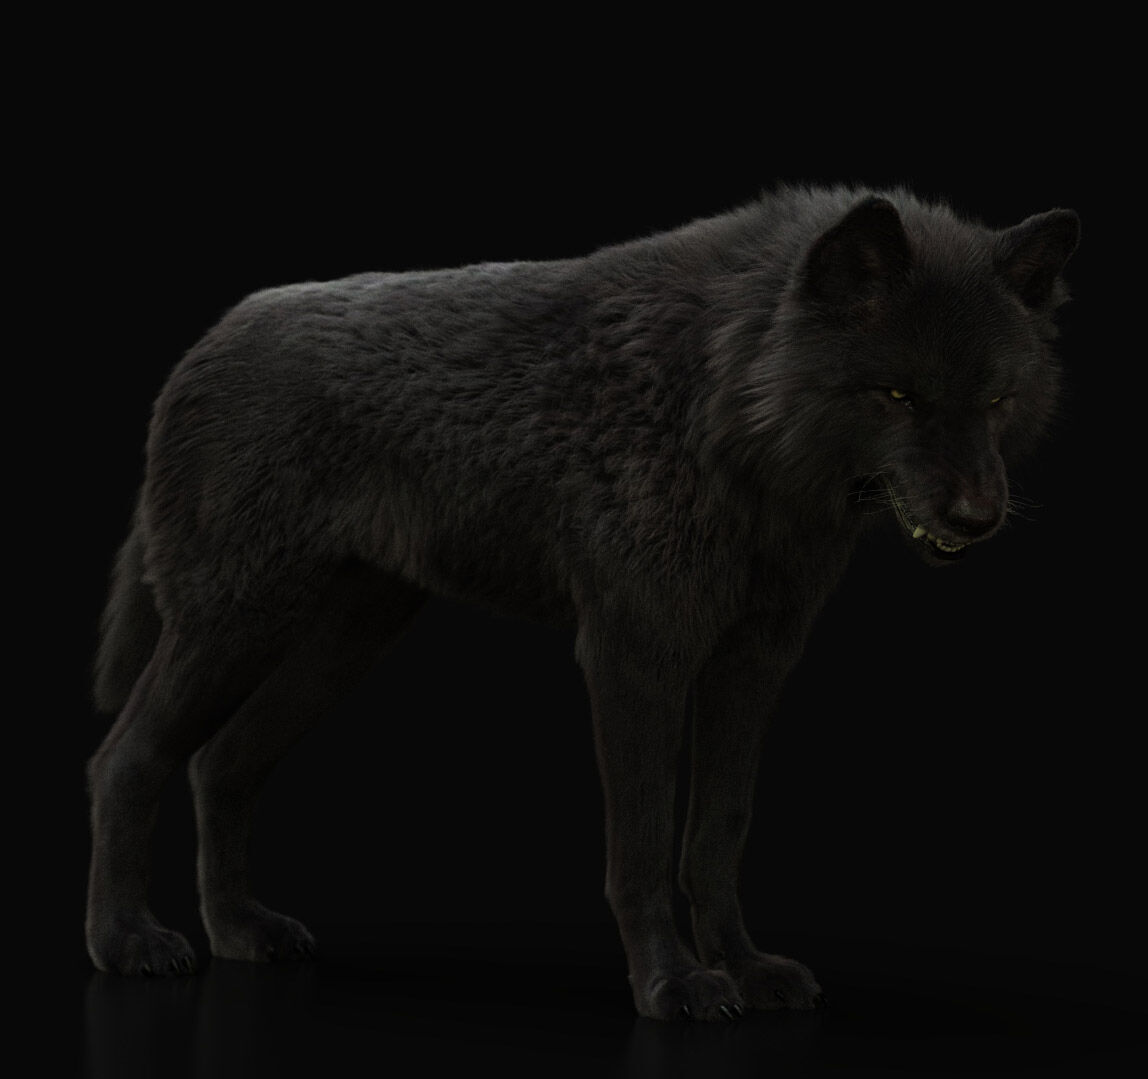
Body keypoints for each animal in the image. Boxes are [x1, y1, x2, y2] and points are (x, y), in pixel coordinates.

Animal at [87, 185, 1078, 1020]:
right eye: (898, 394)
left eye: (997, 398)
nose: (978, 516)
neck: (720, 405)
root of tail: (207, 340)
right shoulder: (635, 653)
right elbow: (639, 845)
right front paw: (673, 983)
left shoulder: (752, 663)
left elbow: (716, 834)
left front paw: (744, 968)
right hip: (235, 624)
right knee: (125, 757)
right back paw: (128, 942)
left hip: (341, 642)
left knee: (220, 763)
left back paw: (241, 932)